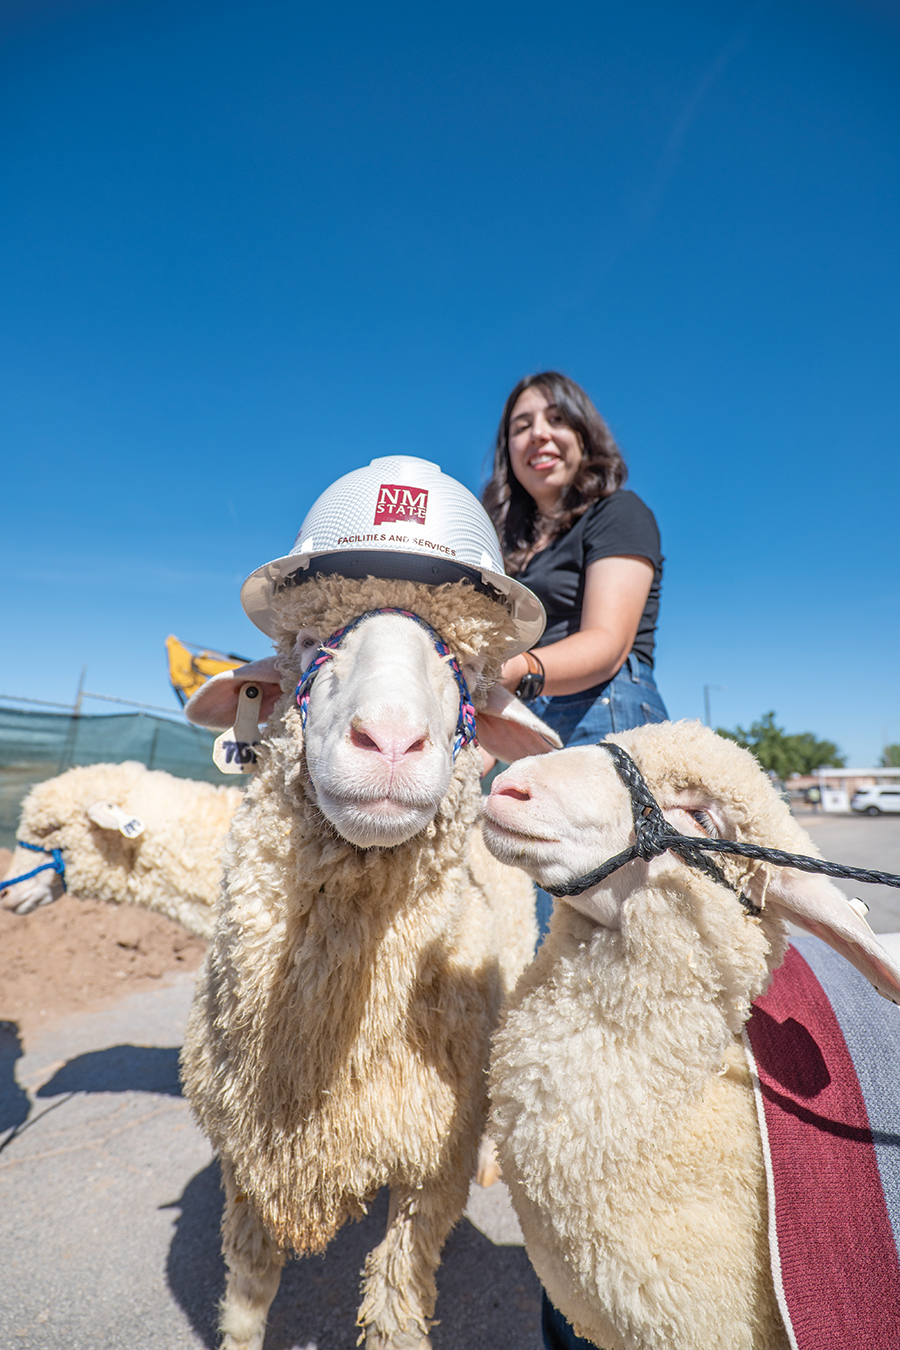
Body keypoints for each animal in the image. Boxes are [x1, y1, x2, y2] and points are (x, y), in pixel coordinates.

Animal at [180, 575, 558, 1350]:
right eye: (303, 647)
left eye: (466, 669)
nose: (388, 742)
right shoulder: (244, 1152)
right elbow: (249, 1284)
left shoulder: (433, 1162)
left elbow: (393, 1297)